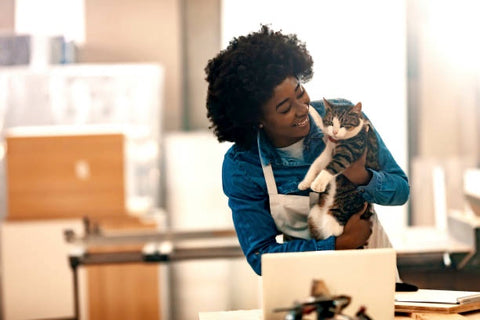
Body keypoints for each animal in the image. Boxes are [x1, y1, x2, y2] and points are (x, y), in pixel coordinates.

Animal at [298, 98, 380, 240]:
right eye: (331, 122)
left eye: (344, 124)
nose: (335, 132)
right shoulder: (328, 150)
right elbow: (316, 164)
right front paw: (306, 182)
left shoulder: (349, 151)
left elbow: (332, 166)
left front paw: (318, 184)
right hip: (313, 214)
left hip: (337, 218)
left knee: (335, 233)